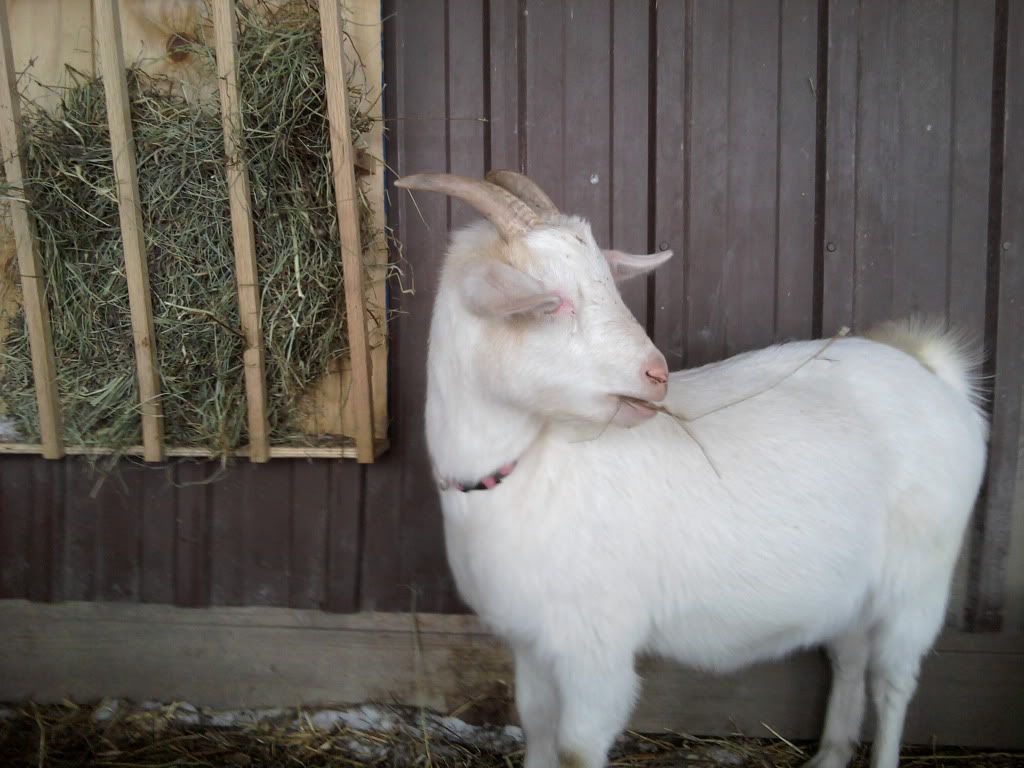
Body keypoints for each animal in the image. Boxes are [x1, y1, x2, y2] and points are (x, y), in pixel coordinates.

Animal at [394, 171, 988, 768]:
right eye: (550, 301)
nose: (656, 374)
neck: (527, 468)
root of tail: (934, 374)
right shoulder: (532, 641)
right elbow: (535, 726)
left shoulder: (596, 649)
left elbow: (577, 748)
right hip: (851, 588)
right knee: (849, 657)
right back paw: (831, 753)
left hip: (918, 579)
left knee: (893, 681)